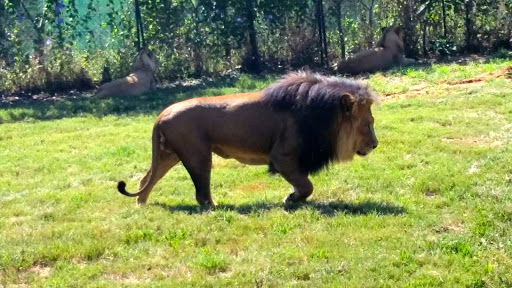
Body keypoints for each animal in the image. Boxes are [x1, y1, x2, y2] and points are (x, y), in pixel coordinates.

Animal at [118, 72, 378, 207]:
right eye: (368, 125)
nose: (375, 145)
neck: (325, 115)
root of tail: (161, 113)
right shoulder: (281, 157)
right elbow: (306, 185)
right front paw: (290, 199)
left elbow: (304, 184)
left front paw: (295, 199)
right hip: (197, 156)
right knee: (201, 194)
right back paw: (216, 208)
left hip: (169, 155)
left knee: (145, 180)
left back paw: (141, 205)